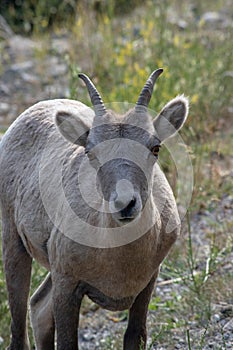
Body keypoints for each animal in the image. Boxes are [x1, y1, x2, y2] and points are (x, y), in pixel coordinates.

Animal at [0, 69, 188, 350]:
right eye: (90, 151)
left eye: (155, 147)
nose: (125, 203)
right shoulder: (67, 286)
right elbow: (67, 342)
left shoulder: (146, 285)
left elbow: (135, 336)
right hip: (14, 244)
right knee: (20, 328)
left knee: (39, 307)